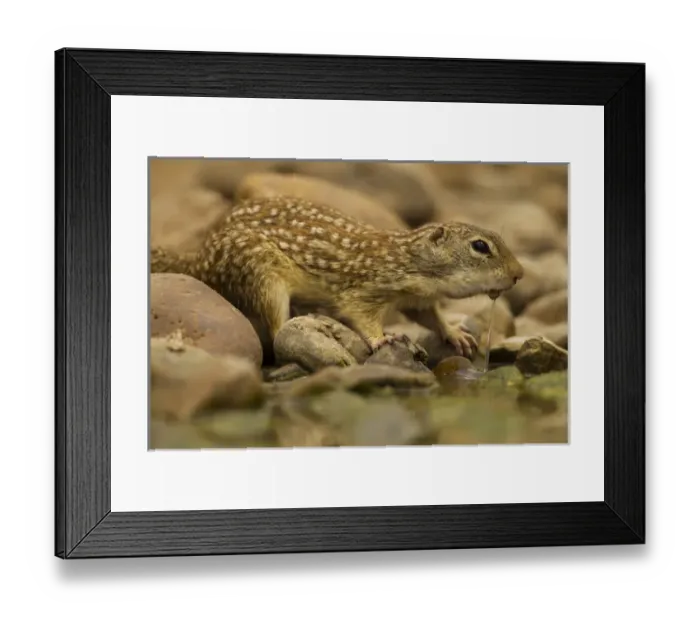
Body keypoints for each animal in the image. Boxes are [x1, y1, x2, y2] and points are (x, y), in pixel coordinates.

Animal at [151, 195, 524, 358]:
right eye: (480, 246)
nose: (519, 274)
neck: (410, 259)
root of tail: (198, 260)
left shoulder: (417, 299)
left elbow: (430, 317)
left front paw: (455, 333)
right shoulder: (367, 290)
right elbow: (360, 314)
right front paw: (381, 339)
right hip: (262, 276)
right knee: (277, 328)